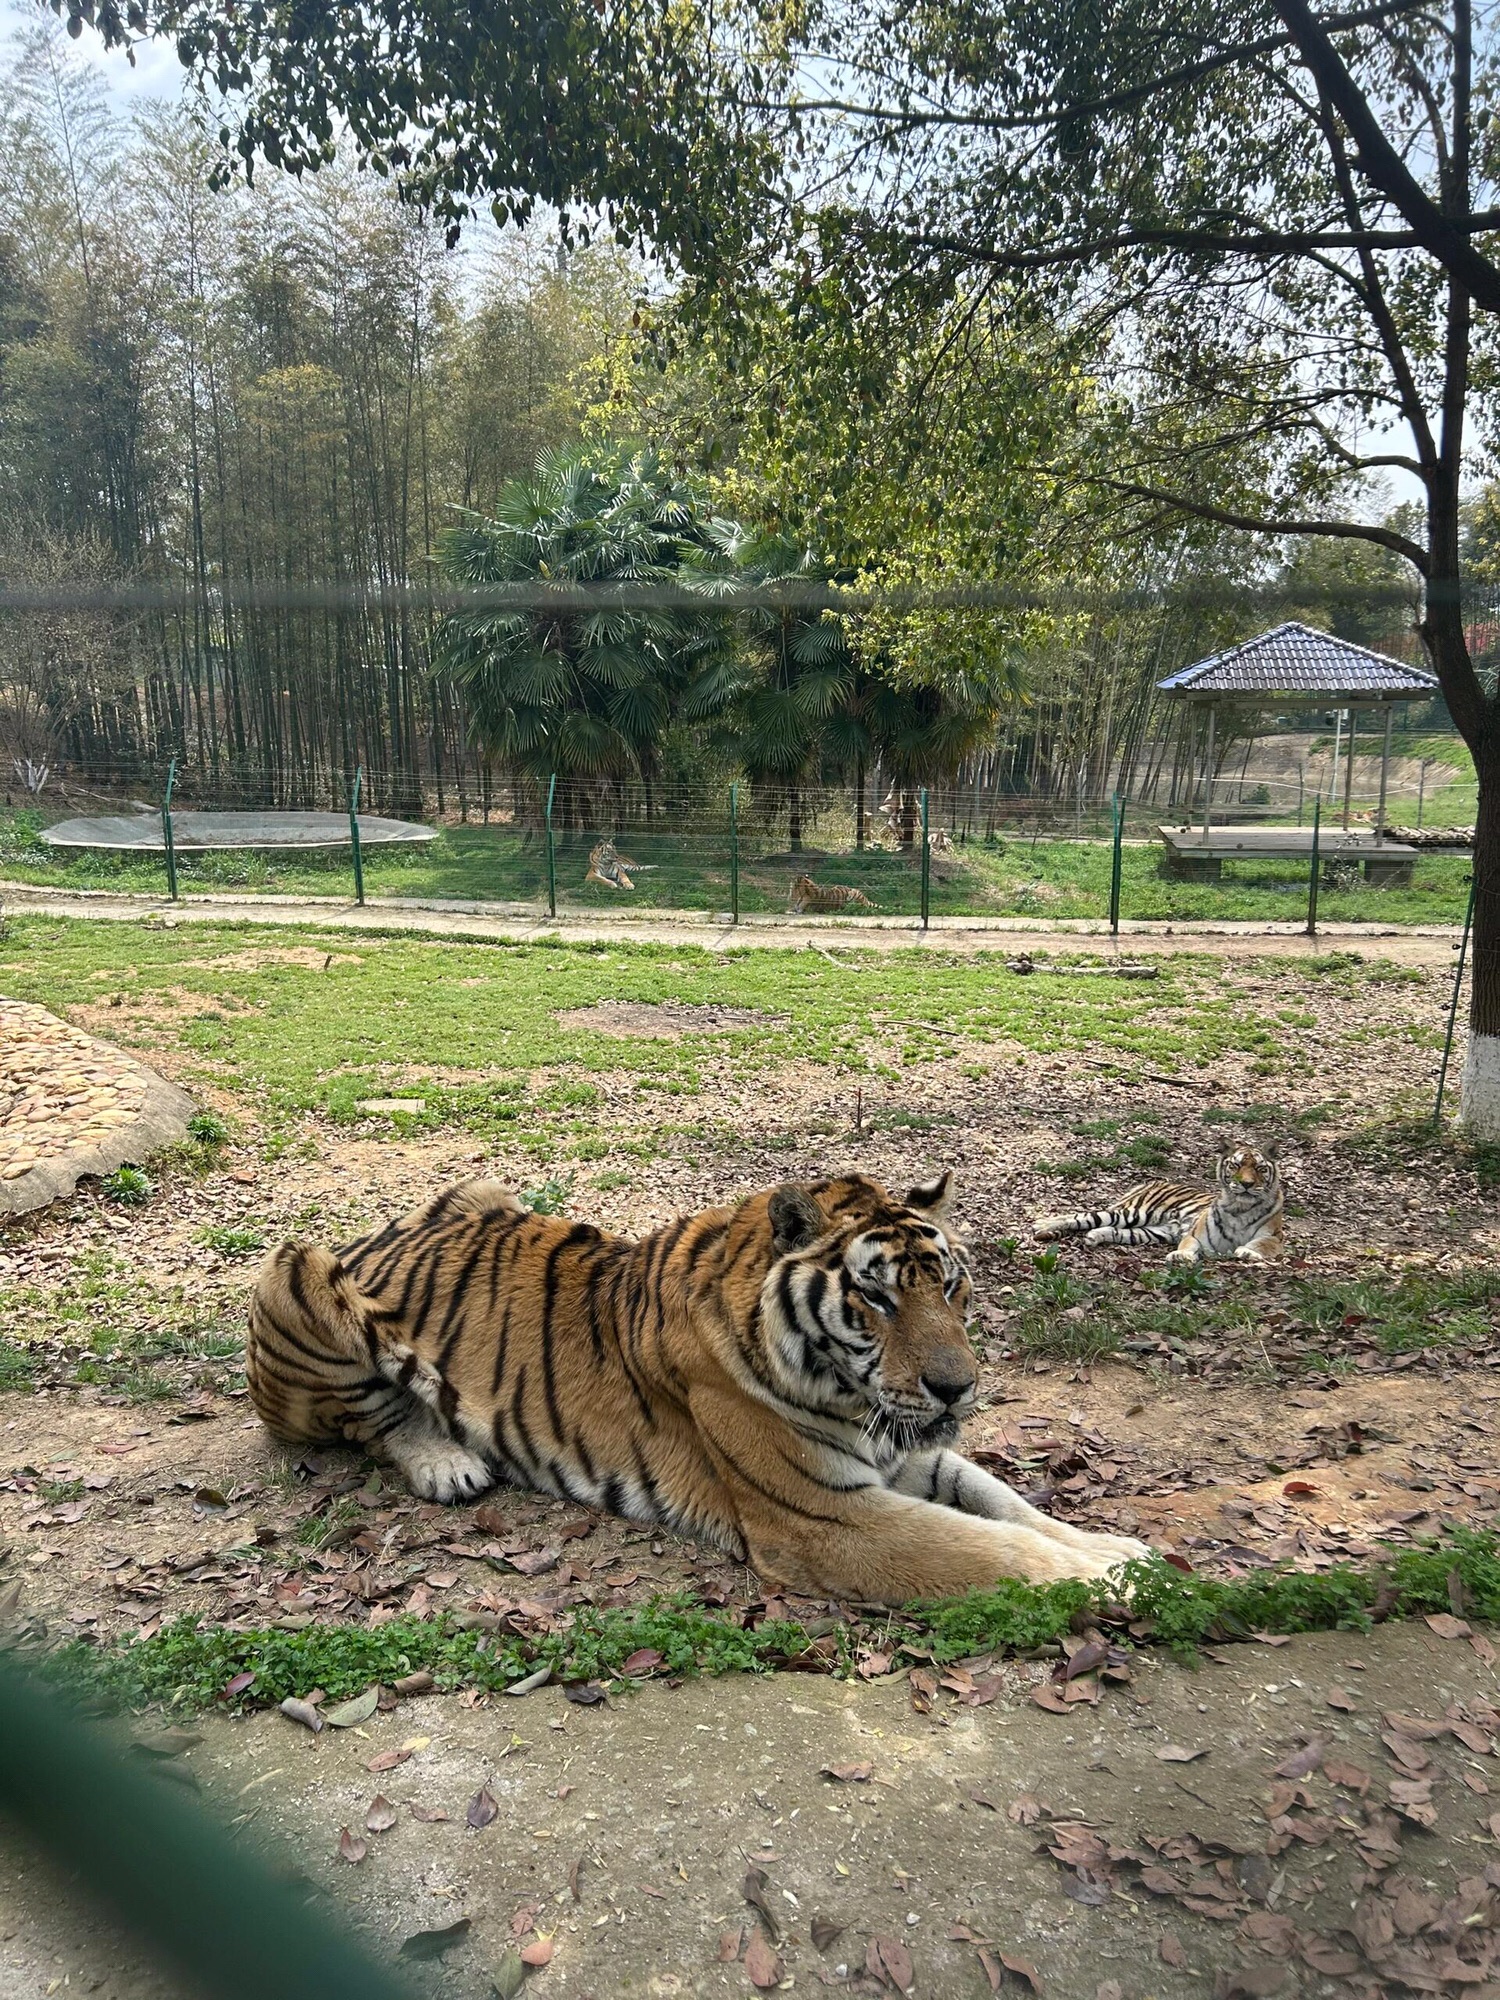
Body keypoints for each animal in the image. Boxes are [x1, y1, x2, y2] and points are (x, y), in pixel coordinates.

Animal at [246, 1172, 1150, 1603]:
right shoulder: (822, 1518)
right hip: (294, 1269)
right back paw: (446, 1463)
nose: (959, 1389)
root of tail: (372, 1233)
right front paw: (1116, 1577)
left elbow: (1008, 1503)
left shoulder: (902, 1452)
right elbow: (989, 1548)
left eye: (951, 1286)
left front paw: (1117, 1548)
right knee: (371, 1419)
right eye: (877, 1297)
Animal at [1033, 1146, 1284, 1265]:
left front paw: (1247, 1252)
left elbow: (1260, 1243)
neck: (1241, 1208)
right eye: (1235, 1165)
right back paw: (1041, 1225)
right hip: (1134, 1212)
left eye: (1261, 1169)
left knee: (1113, 1230)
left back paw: (1093, 1237)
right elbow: (1189, 1245)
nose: (1246, 1184)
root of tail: (1153, 1181)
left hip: (1153, 1231)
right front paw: (1182, 1256)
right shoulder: (1196, 1234)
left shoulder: (1274, 1237)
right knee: (1082, 1216)